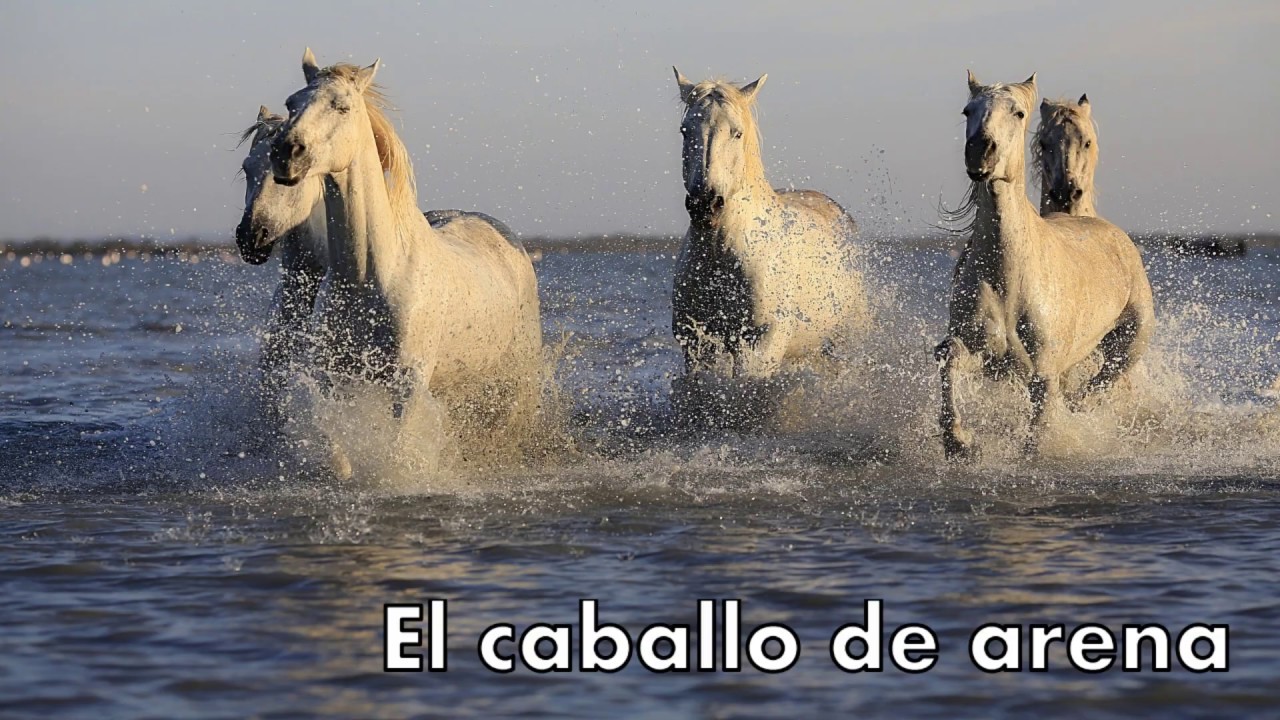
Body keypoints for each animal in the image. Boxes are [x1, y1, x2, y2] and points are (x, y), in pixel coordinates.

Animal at [265, 49, 543, 473]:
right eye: (291, 102)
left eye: (341, 106)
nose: (285, 154)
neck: (369, 275)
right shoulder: (336, 376)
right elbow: (337, 446)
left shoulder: (407, 383)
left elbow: (399, 449)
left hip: (516, 373)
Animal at [670, 68, 867, 418]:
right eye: (685, 130)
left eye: (736, 133)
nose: (705, 204)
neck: (722, 257)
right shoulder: (695, 342)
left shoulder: (759, 343)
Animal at [935, 71, 1155, 459]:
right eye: (967, 111)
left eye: (1018, 113)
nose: (980, 152)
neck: (1009, 275)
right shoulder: (984, 354)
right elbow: (950, 358)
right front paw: (959, 440)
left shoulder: (1043, 372)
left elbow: (1039, 429)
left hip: (1128, 345)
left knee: (1099, 385)